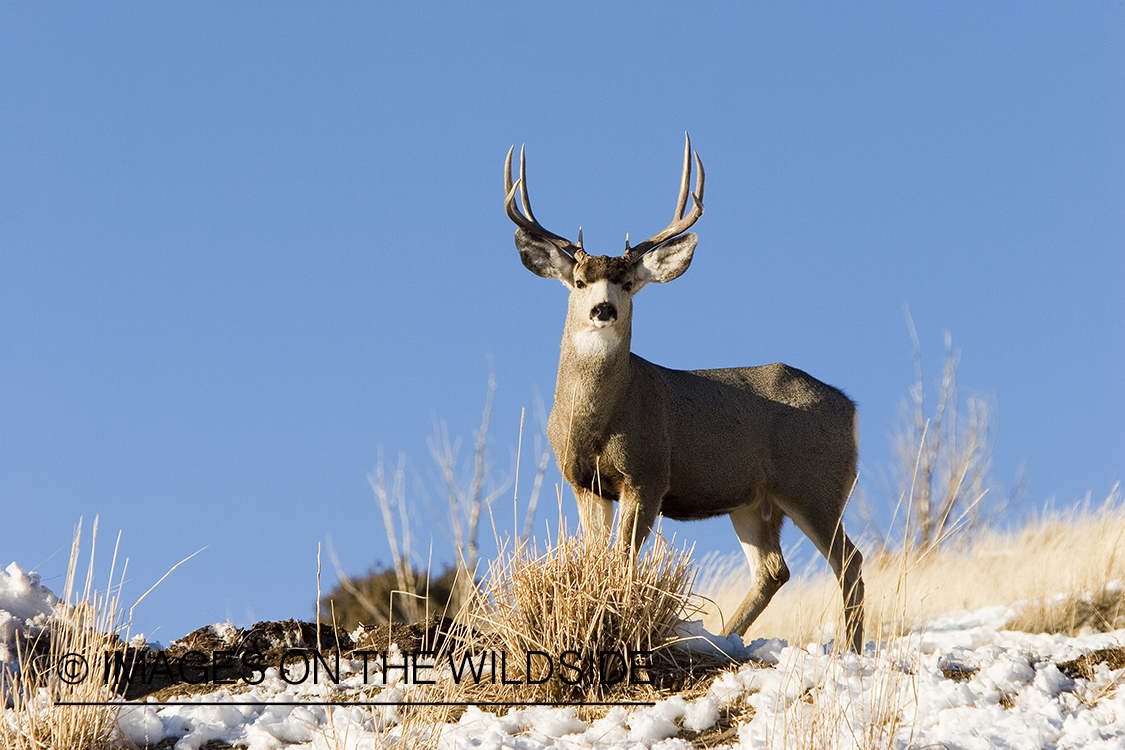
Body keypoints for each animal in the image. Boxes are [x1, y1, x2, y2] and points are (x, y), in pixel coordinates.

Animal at [506, 134, 864, 652]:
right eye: (579, 281)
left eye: (628, 283)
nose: (602, 309)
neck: (598, 419)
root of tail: (851, 409)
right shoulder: (583, 483)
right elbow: (597, 560)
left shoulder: (648, 474)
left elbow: (622, 563)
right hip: (754, 501)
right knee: (773, 571)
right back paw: (724, 639)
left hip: (815, 483)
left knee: (848, 561)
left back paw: (851, 648)